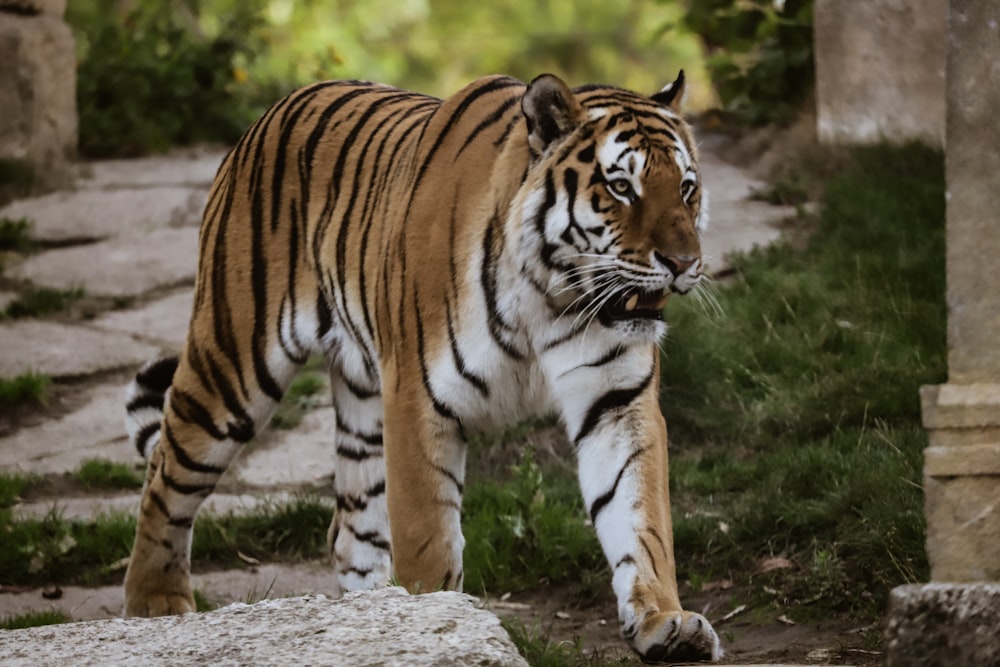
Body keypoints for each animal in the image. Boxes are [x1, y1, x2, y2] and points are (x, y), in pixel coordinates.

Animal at [123, 70, 720, 660]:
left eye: (686, 188)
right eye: (621, 188)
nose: (684, 263)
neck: (552, 295)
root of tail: (273, 110)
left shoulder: (617, 402)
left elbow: (640, 518)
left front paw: (665, 622)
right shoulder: (417, 400)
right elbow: (427, 540)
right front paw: (438, 620)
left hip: (362, 402)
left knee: (350, 529)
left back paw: (371, 618)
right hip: (233, 365)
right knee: (166, 476)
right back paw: (156, 605)